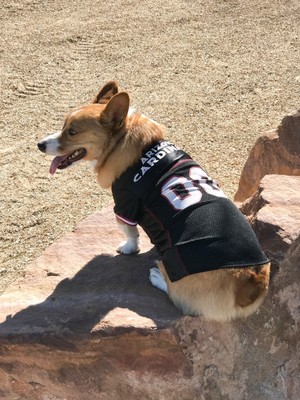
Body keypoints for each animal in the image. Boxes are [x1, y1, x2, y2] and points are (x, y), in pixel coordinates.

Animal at [37, 81, 270, 322]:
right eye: (63, 125)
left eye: (73, 132)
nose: (39, 145)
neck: (125, 141)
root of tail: (250, 283)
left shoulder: (124, 206)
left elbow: (130, 233)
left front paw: (128, 248)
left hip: (175, 264)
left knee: (177, 295)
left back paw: (158, 276)